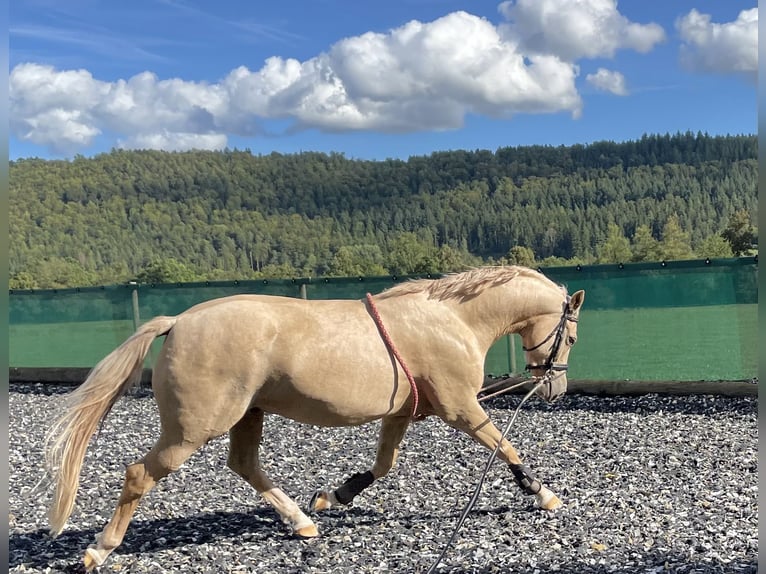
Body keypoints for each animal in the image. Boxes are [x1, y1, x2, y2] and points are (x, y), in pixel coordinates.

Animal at [45, 266, 584, 572]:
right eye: (573, 337)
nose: (554, 389)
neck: (453, 321)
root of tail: (178, 321)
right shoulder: (460, 407)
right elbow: (504, 445)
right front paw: (542, 493)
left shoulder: (403, 413)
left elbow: (383, 465)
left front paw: (334, 496)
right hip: (194, 427)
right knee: (140, 474)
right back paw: (99, 551)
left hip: (248, 414)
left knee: (244, 465)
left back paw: (303, 522)